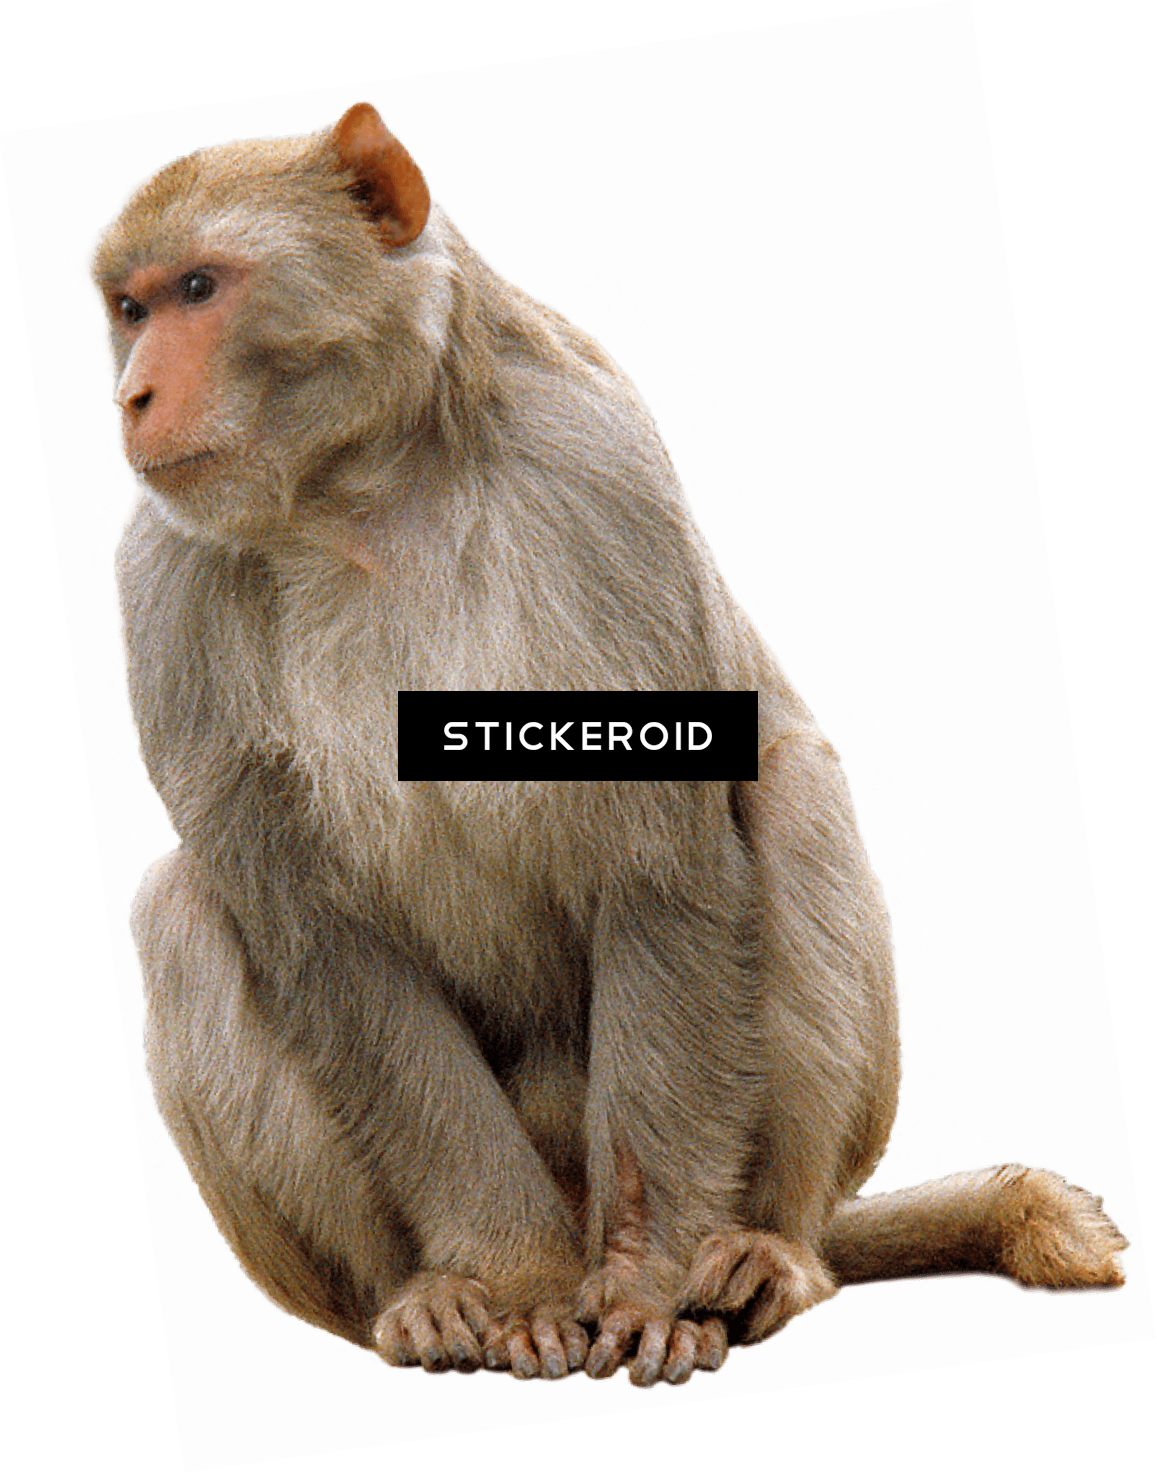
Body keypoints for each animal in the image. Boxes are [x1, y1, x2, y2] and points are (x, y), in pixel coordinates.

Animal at [81, 101, 1128, 1388]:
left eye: (197, 287)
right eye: (129, 308)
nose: (134, 396)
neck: (359, 492)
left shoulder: (592, 480)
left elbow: (656, 862)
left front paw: (643, 1287)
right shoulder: (161, 581)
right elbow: (323, 945)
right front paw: (516, 1284)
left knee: (788, 793)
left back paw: (759, 1263)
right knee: (179, 910)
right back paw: (421, 1300)